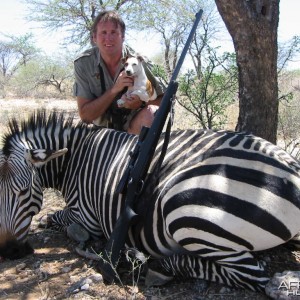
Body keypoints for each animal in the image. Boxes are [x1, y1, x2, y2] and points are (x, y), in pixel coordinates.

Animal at [0, 109, 298, 290]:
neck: (76, 159)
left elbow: (58, 217)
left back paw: (159, 266)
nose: (10, 251)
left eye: (23, 192)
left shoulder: (86, 215)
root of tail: (290, 167)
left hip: (185, 210)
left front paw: (49, 223)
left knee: (253, 274)